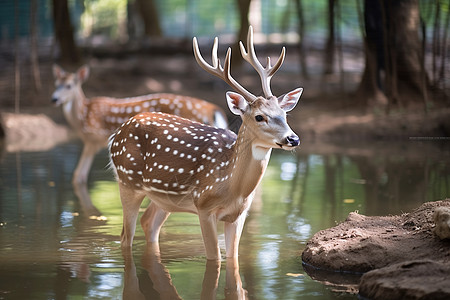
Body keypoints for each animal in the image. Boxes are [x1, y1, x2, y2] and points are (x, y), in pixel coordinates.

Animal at [52, 64, 227, 184]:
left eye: (69, 85)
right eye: (56, 84)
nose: (54, 99)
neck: (83, 114)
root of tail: (212, 109)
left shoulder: (93, 140)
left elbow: (78, 176)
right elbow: (78, 176)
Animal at [108, 25, 302, 260]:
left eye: (284, 114)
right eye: (259, 116)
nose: (293, 138)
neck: (233, 189)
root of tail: (117, 134)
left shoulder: (238, 216)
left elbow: (233, 258)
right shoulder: (203, 206)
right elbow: (214, 257)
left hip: (164, 198)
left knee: (149, 223)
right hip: (127, 181)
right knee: (125, 236)